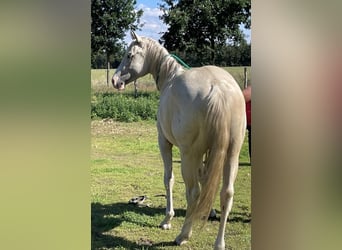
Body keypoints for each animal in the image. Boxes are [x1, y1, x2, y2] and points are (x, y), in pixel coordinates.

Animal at [112, 31, 246, 250]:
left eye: (129, 55)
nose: (115, 80)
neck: (170, 77)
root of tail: (218, 89)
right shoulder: (208, 152)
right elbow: (206, 178)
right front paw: (208, 212)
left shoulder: (164, 143)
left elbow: (169, 179)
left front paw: (167, 219)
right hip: (231, 154)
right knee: (226, 193)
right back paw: (219, 243)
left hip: (189, 155)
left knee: (193, 191)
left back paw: (183, 235)